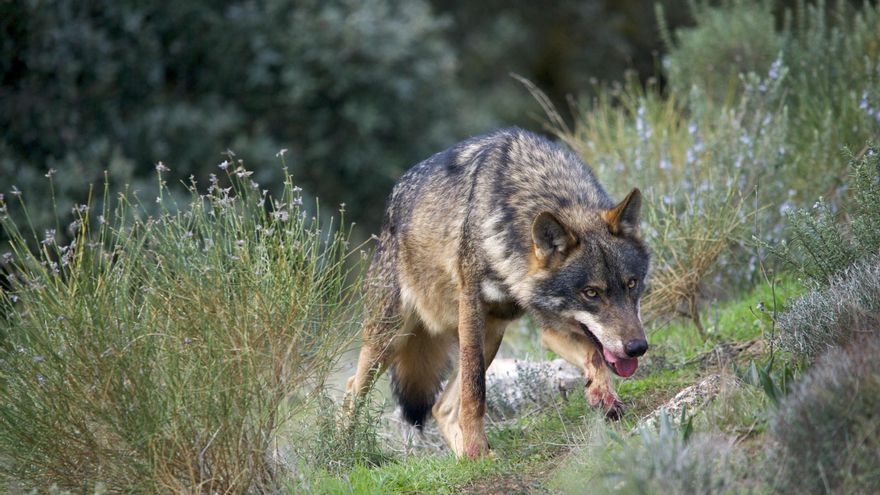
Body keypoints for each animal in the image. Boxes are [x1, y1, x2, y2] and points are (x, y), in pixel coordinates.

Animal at [345, 127, 649, 458]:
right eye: (591, 293)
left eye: (632, 284)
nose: (637, 348)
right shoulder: (472, 308)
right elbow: (475, 392)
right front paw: (476, 446)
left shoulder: (549, 325)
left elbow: (594, 355)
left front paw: (603, 395)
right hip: (391, 339)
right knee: (352, 390)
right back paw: (344, 449)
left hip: (491, 335)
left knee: (441, 408)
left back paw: (466, 459)